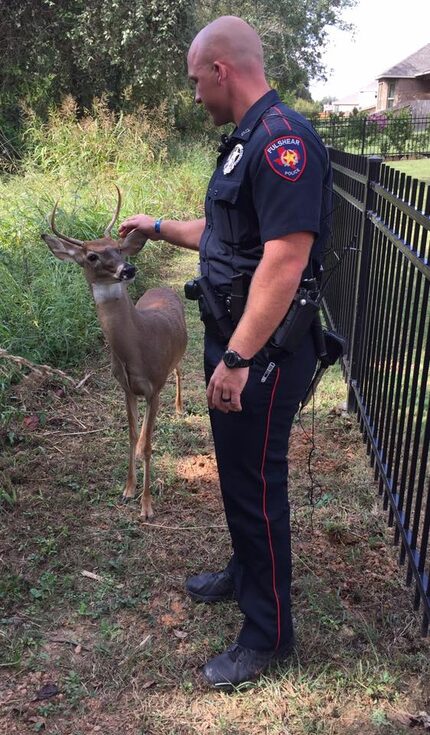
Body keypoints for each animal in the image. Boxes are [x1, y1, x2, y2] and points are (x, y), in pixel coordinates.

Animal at [41, 190, 186, 524]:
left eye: (119, 249)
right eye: (91, 256)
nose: (127, 270)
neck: (137, 347)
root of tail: (164, 287)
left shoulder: (154, 387)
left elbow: (148, 445)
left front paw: (146, 507)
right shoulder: (126, 388)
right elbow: (132, 436)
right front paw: (128, 489)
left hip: (176, 357)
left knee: (178, 371)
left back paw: (179, 407)